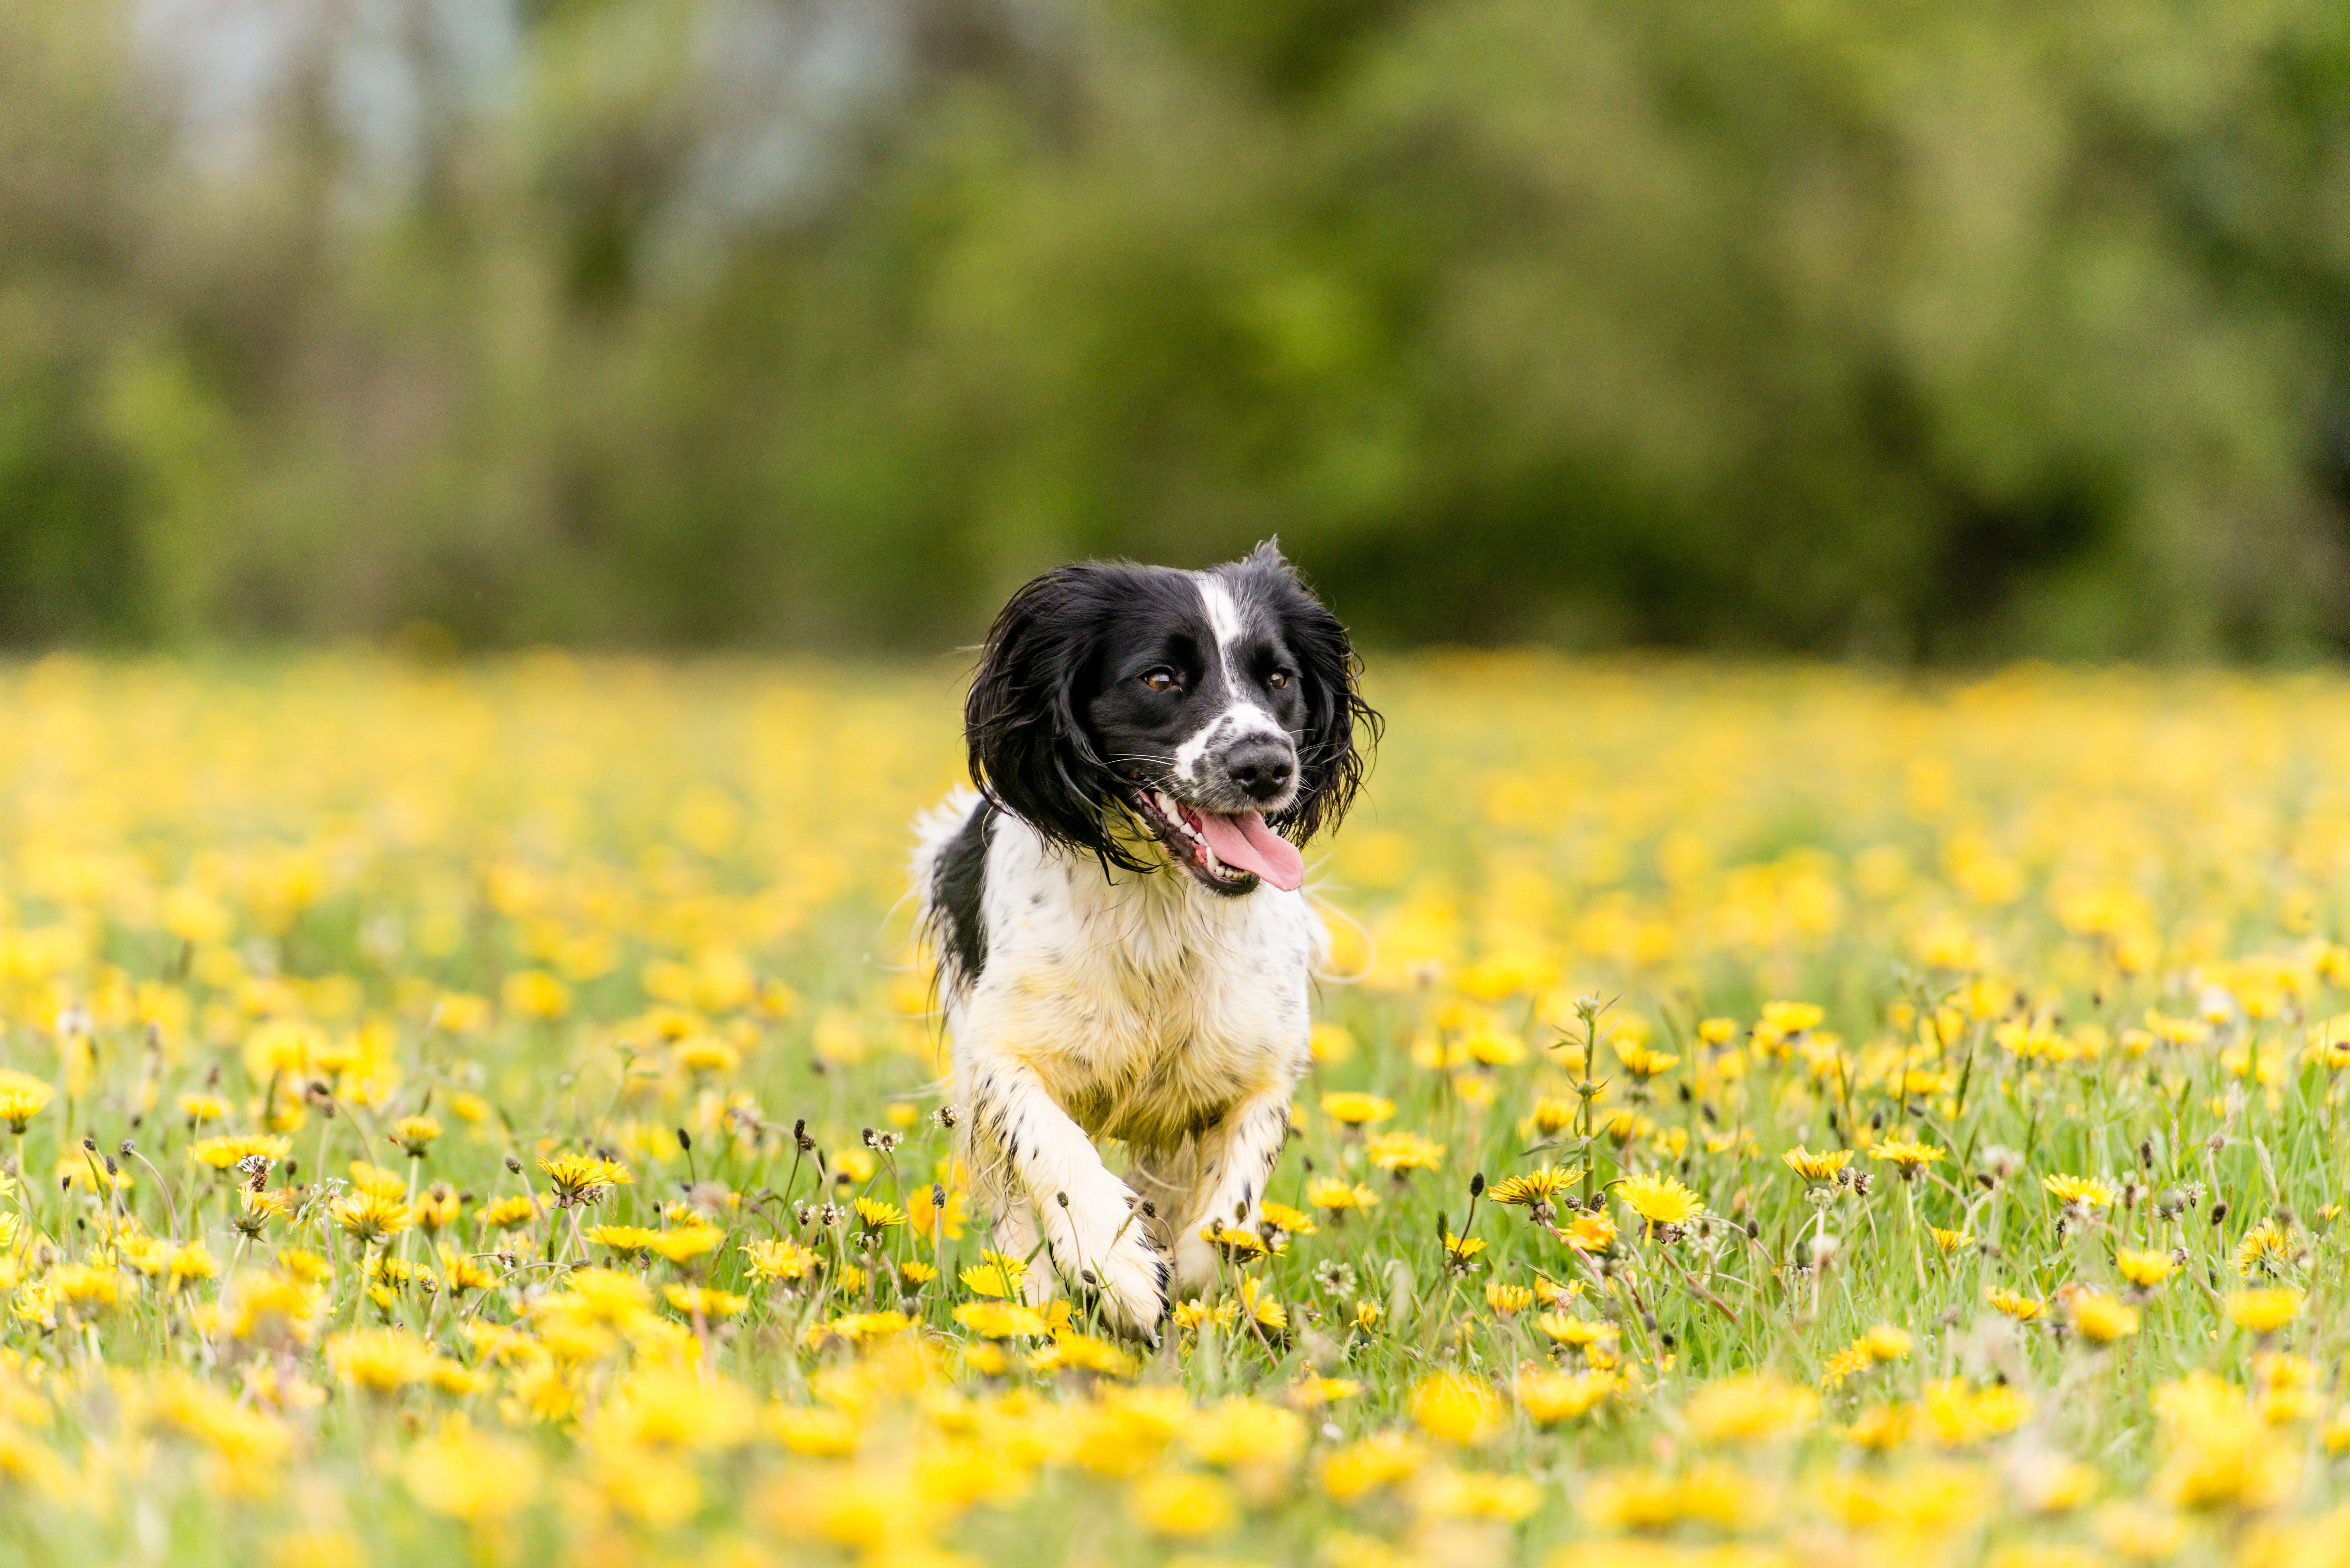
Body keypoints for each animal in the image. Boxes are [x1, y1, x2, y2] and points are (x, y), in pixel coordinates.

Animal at [912, 543, 1372, 1335]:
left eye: (1278, 678)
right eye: (1159, 678)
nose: (1265, 764)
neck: (1164, 906)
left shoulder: (1260, 1068)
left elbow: (1229, 1214)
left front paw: (1181, 1274)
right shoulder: (998, 1051)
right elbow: (1051, 1146)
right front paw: (1115, 1263)